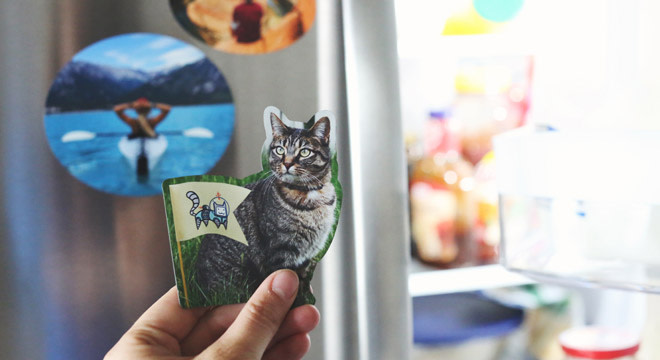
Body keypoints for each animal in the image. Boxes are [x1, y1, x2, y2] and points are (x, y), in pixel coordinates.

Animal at [195, 111, 338, 302]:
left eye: (305, 152)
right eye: (280, 150)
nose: (287, 163)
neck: (310, 196)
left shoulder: (306, 256)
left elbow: (301, 281)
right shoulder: (281, 251)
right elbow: (290, 281)